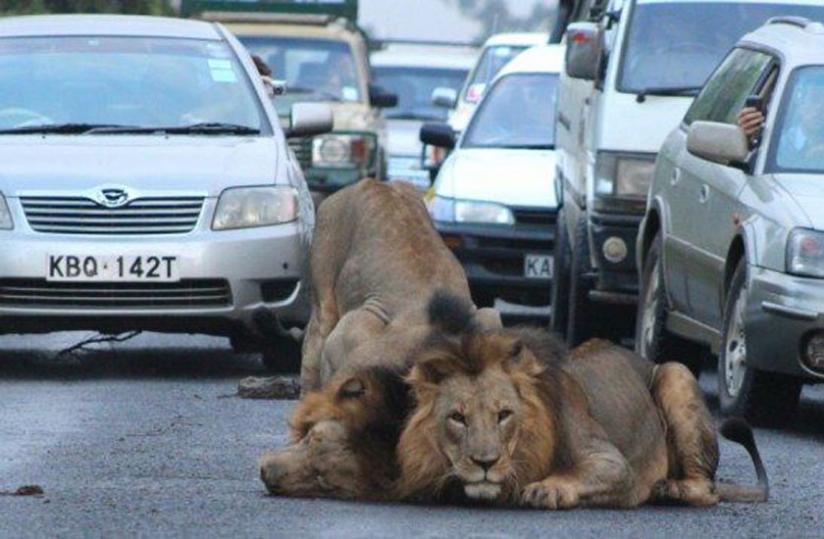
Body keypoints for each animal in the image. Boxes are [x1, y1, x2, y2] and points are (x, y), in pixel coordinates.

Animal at [396, 294, 768, 508]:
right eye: (458, 418)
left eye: (504, 414)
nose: (485, 462)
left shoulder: (614, 463)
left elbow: (581, 472)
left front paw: (547, 490)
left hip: (675, 372)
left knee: (708, 489)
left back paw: (669, 489)